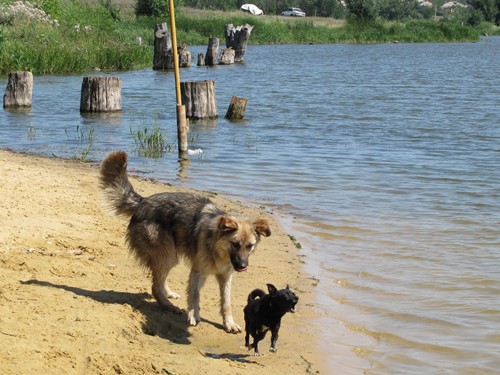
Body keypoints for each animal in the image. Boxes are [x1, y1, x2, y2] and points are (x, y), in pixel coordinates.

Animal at [100, 151, 272, 334]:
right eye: (235, 244)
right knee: (155, 286)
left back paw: (169, 294)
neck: (217, 250)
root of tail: (143, 201)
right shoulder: (198, 272)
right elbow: (195, 295)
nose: (242, 266)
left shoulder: (226, 276)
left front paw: (229, 323)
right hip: (167, 255)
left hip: (170, 256)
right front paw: (193, 314)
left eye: (249, 246)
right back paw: (169, 306)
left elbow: (226, 303)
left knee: (159, 281)